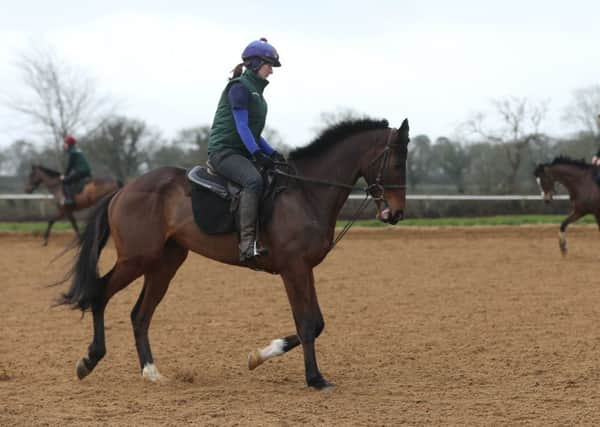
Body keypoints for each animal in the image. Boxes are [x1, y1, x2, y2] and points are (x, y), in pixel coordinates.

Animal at [58, 118, 410, 392]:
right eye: (396, 163)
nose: (395, 213)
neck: (306, 193)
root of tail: (123, 190)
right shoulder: (294, 268)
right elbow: (307, 323)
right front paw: (314, 378)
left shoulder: (305, 268)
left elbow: (317, 323)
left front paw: (258, 356)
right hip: (136, 260)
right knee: (100, 293)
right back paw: (90, 360)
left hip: (165, 264)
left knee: (140, 315)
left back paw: (151, 372)